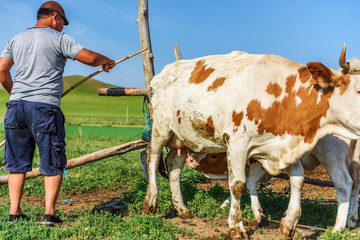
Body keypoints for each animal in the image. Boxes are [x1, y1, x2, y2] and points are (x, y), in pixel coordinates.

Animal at [184, 136, 358, 233]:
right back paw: (352, 220)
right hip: (353, 160)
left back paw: (337, 228)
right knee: (355, 184)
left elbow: (249, 183)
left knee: (344, 184)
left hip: (331, 157)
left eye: (213, 156)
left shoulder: (259, 161)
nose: (190, 159)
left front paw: (258, 213)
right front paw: (224, 205)